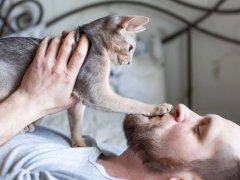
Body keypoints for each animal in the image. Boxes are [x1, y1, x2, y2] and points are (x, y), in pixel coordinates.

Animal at [0, 15, 172, 147]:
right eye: (130, 48)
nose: (129, 62)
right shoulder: (95, 92)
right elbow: (131, 103)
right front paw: (157, 107)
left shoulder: (77, 103)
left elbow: (76, 126)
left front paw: (80, 145)